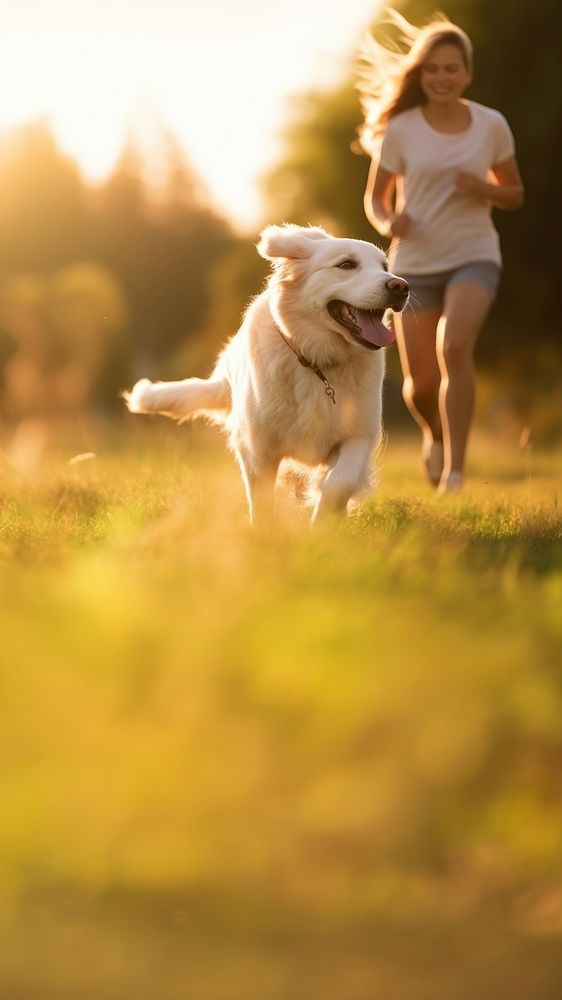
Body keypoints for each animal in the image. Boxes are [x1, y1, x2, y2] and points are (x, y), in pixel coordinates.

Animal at [123, 225, 406, 524]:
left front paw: (321, 525)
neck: (316, 362)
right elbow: (261, 503)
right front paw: (265, 533)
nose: (401, 286)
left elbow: (339, 483)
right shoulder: (259, 451)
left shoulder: (358, 436)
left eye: (385, 267)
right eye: (346, 264)